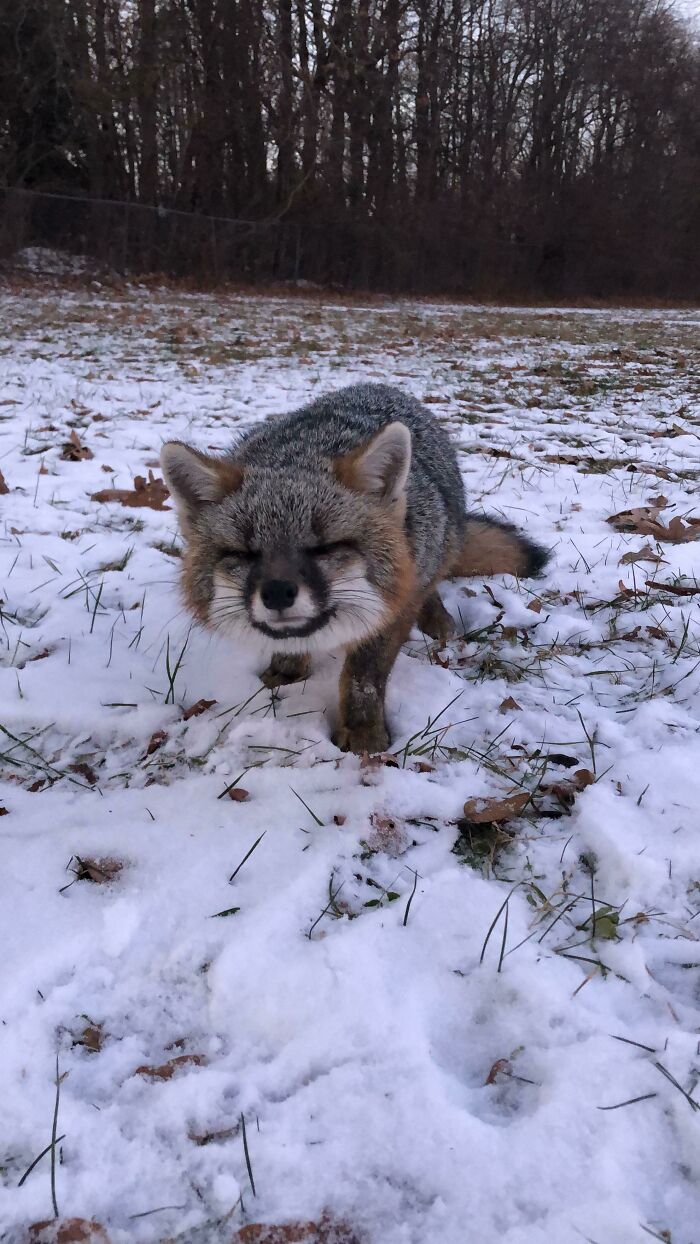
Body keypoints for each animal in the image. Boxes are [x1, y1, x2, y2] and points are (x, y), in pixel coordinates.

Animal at [160, 383, 547, 754]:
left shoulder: (390, 612)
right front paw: (284, 675)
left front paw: (364, 734)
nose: (277, 593)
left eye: (325, 547)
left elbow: (364, 680)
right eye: (244, 553)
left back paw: (437, 618)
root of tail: (381, 386)